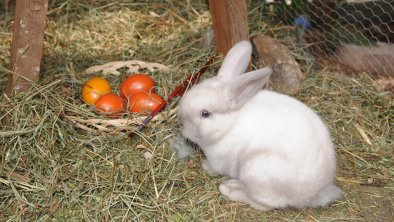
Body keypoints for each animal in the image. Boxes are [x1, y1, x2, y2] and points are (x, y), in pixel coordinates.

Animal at [179, 40, 342, 212]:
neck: (229, 124)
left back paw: (230, 189)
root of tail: (317, 193)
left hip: (256, 171)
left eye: (205, 114)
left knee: (266, 204)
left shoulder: (219, 160)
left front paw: (205, 166)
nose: (181, 125)